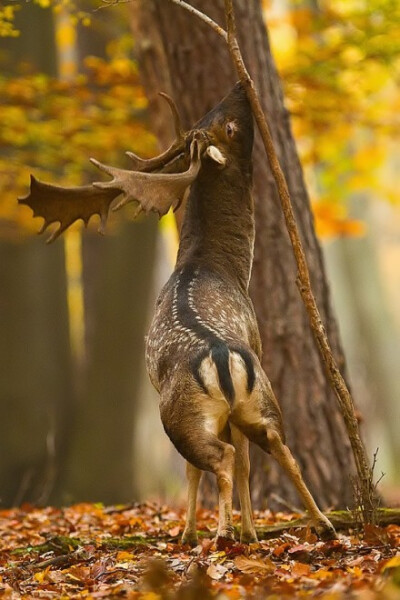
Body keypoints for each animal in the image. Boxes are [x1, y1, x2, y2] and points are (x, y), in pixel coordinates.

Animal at [20, 82, 336, 548]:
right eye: (221, 120)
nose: (242, 85)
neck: (220, 267)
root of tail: (222, 356)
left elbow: (195, 471)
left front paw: (190, 533)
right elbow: (245, 464)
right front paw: (250, 532)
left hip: (180, 415)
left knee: (217, 458)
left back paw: (220, 534)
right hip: (258, 400)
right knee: (277, 449)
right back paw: (320, 524)